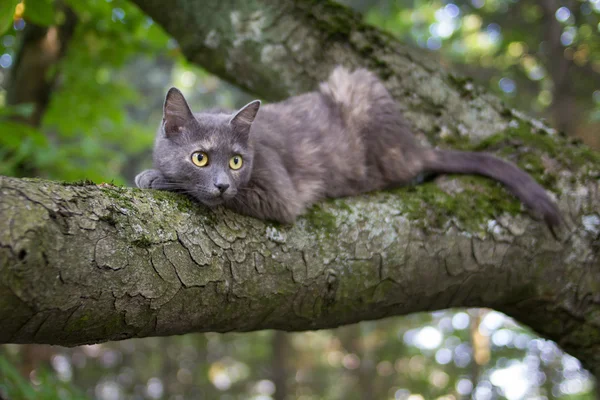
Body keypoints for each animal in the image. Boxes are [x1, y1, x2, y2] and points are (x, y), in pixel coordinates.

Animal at [136, 66, 564, 228]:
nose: (224, 184)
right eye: (201, 157)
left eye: (237, 162)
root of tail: (412, 143)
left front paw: (155, 178)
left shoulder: (278, 193)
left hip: (357, 89)